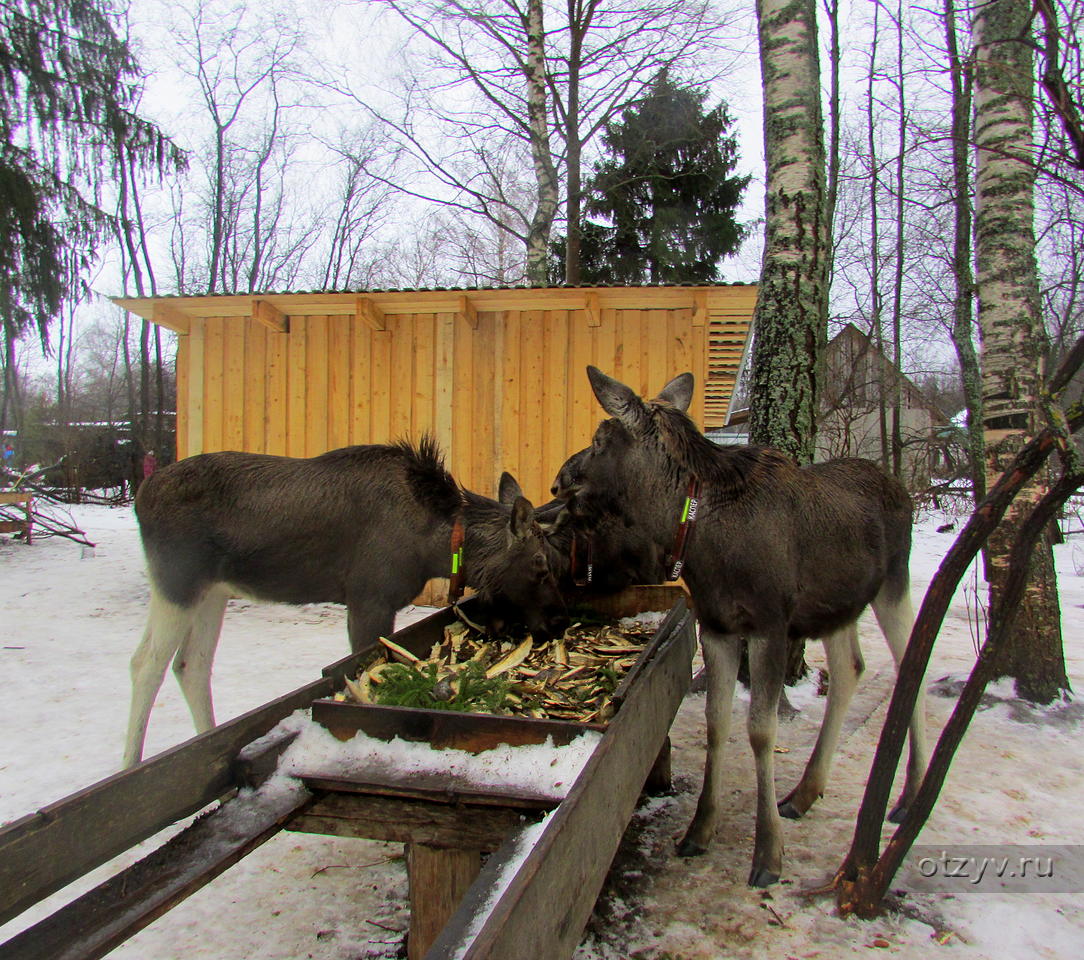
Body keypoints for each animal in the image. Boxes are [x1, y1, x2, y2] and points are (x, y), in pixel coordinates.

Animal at [124, 435, 568, 767]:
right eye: (541, 566)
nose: (560, 620)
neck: (435, 546)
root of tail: (139, 496)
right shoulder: (370, 599)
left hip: (213, 590)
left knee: (191, 664)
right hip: (177, 579)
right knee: (146, 663)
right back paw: (131, 762)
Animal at [555, 366, 927, 888]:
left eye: (599, 438)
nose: (558, 481)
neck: (701, 541)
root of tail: (903, 489)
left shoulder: (770, 624)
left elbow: (760, 731)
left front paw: (768, 853)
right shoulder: (716, 626)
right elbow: (717, 721)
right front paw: (699, 830)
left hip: (893, 581)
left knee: (913, 661)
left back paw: (909, 797)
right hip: (838, 606)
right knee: (850, 668)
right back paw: (805, 792)